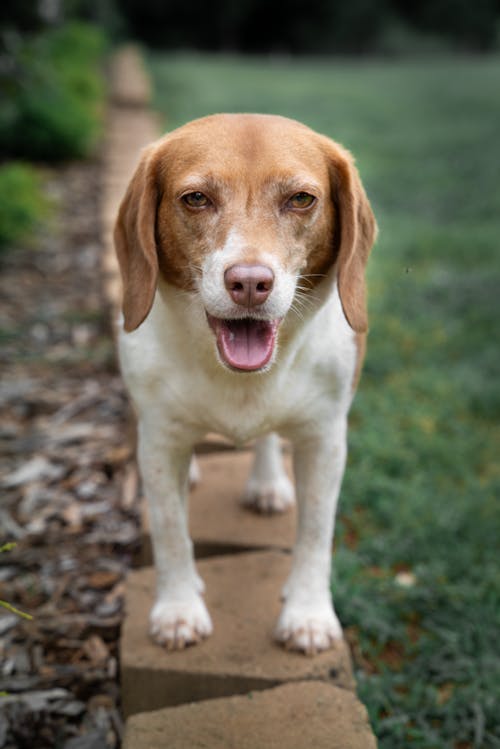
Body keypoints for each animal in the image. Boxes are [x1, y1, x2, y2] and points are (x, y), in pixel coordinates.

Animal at [114, 112, 376, 656]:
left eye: (301, 199)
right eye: (196, 198)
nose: (251, 283)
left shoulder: (325, 440)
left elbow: (315, 533)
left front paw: (308, 615)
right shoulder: (161, 440)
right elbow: (170, 530)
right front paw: (178, 609)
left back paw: (267, 483)